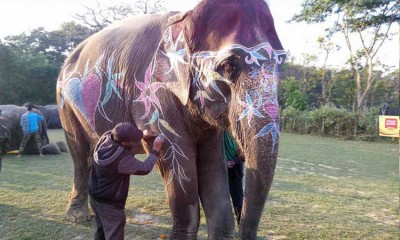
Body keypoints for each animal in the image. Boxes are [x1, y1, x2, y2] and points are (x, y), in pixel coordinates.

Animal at [57, 0, 284, 239]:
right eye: (229, 66)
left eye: (281, 63)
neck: (184, 19)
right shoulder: (154, 95)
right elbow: (177, 165)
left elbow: (212, 166)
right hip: (64, 103)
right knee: (80, 154)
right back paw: (77, 216)